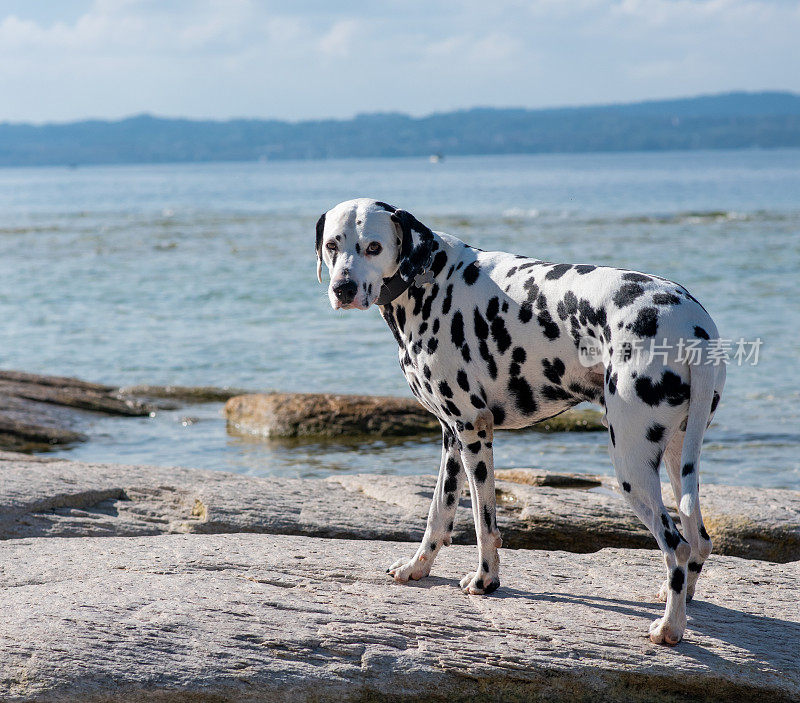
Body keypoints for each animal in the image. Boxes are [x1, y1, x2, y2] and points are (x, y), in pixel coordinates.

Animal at [318, 198, 724, 648]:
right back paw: (681, 602)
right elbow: (439, 513)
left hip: (631, 468)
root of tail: (694, 326)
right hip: (678, 460)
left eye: (373, 247)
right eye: (333, 244)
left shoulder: (474, 432)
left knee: (677, 546)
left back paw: (670, 628)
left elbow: (483, 523)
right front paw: (417, 568)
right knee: (698, 539)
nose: (343, 288)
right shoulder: (451, 438)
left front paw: (485, 580)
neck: (430, 275)